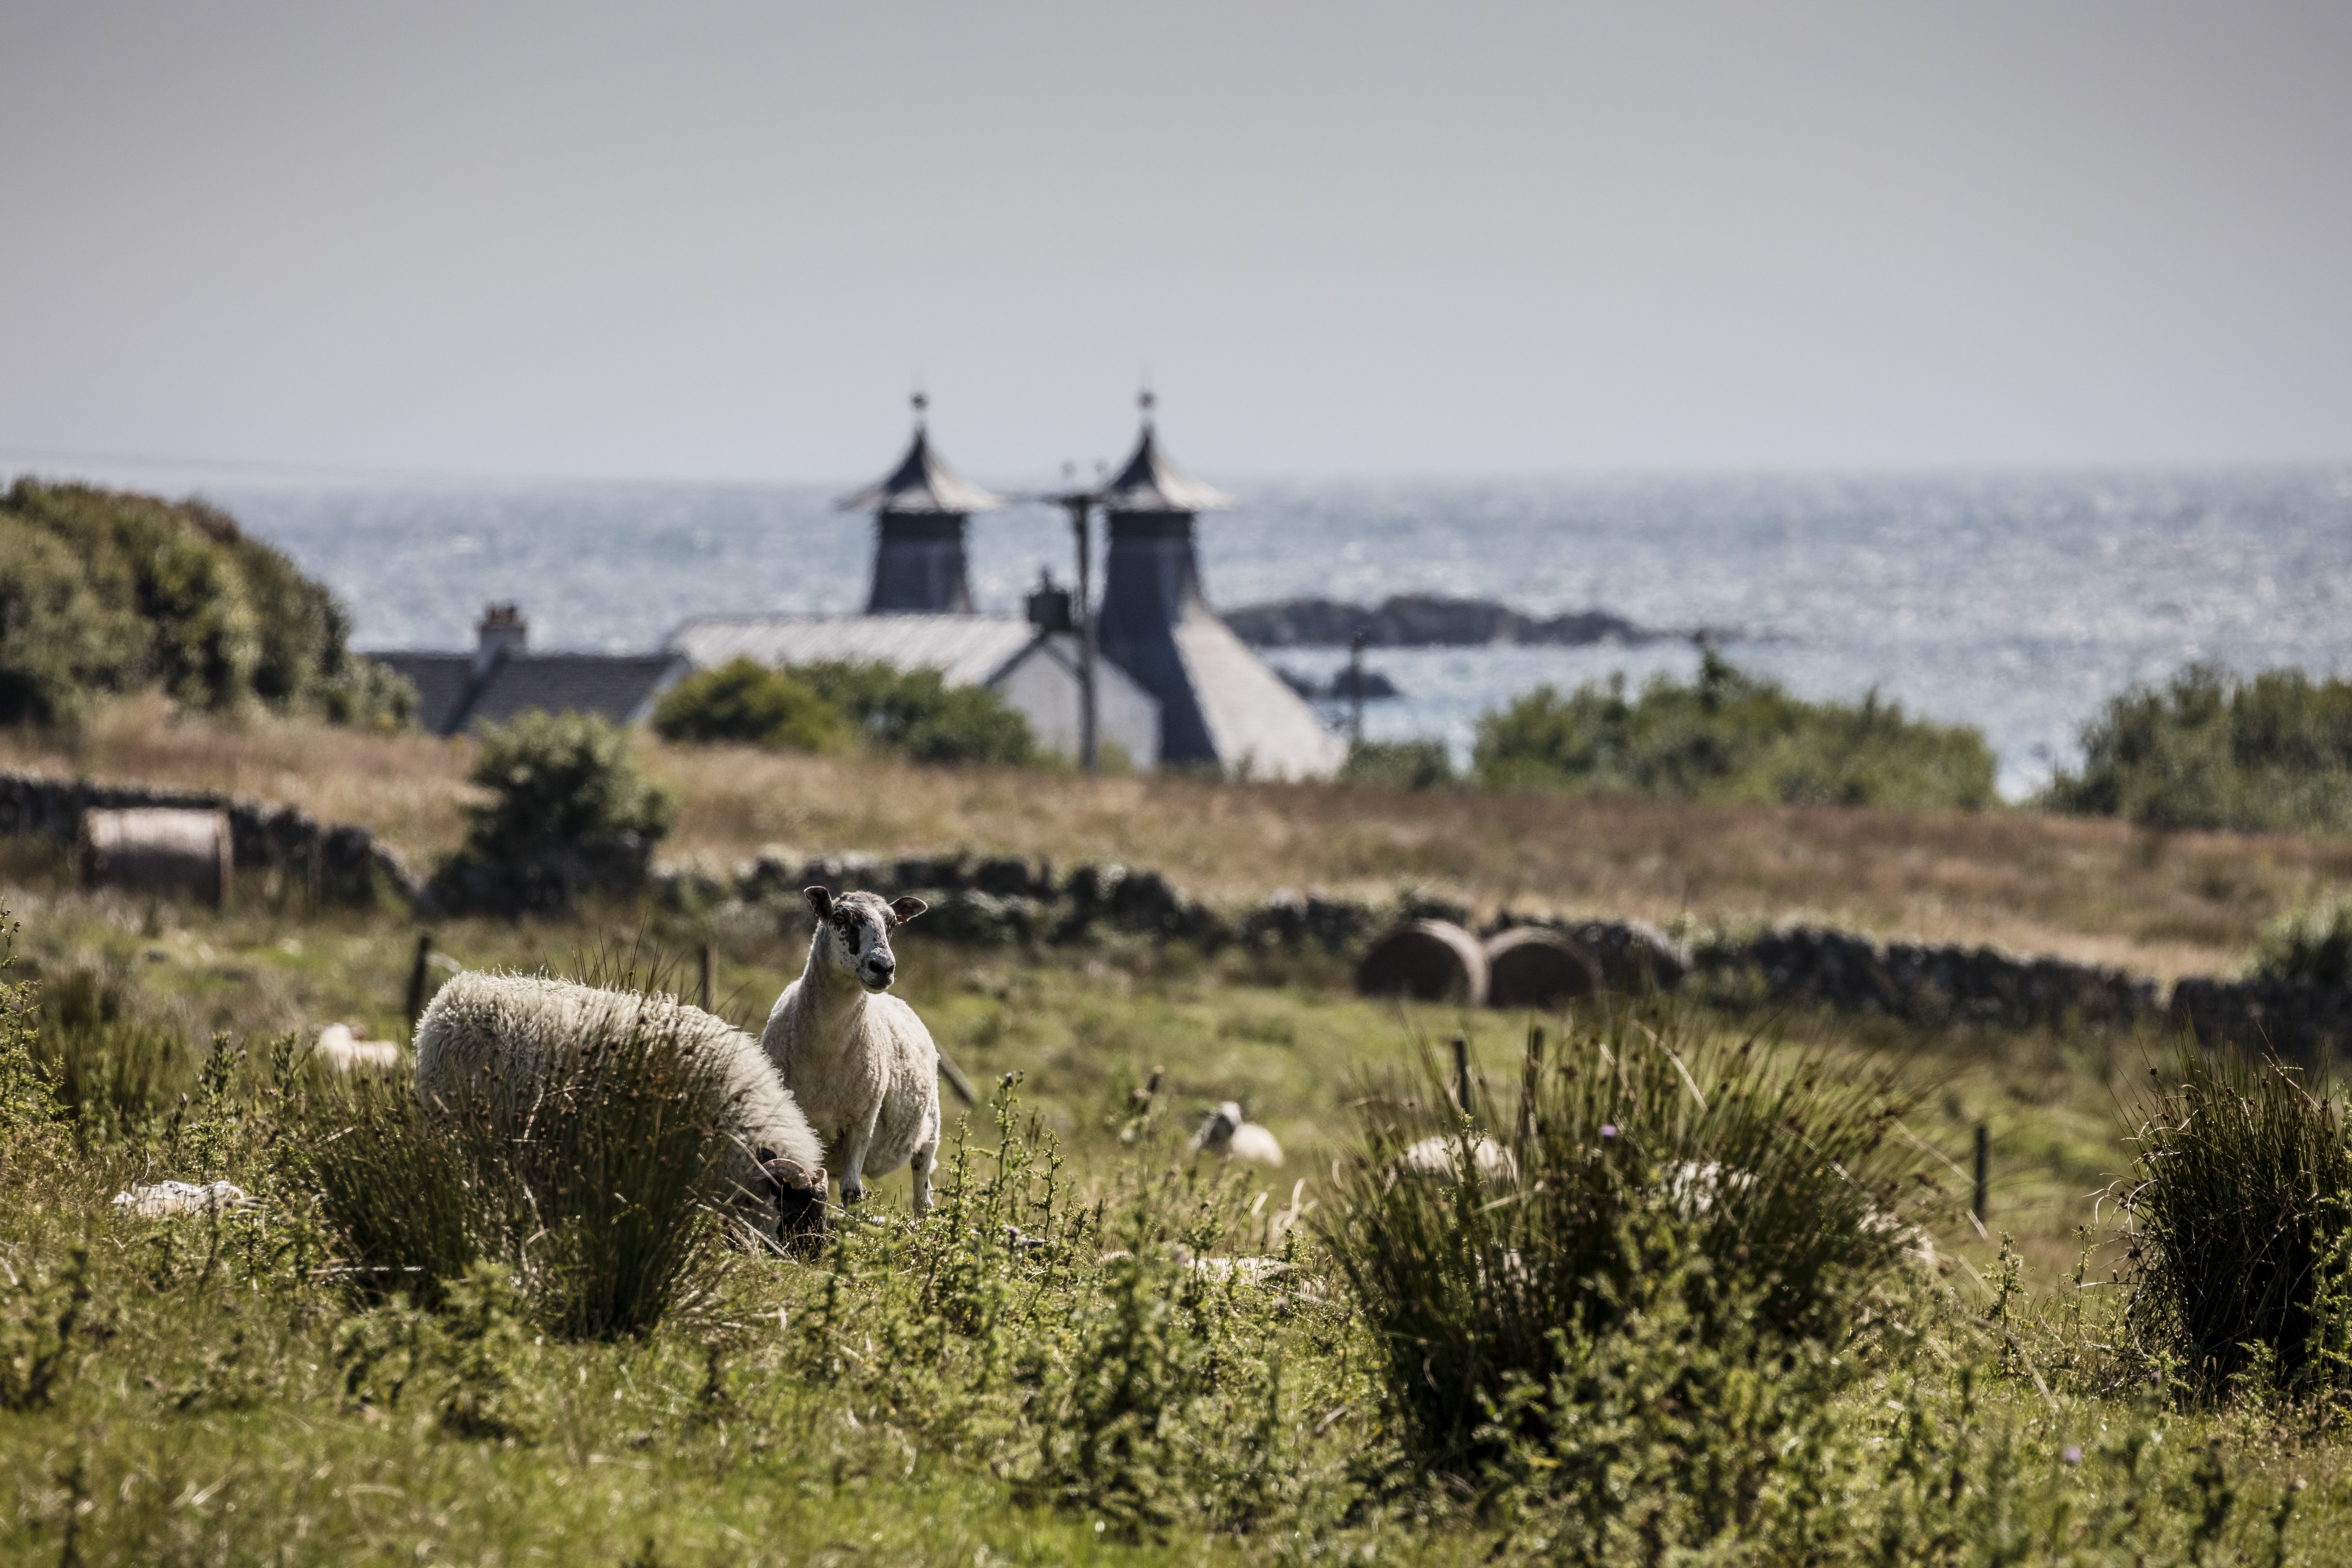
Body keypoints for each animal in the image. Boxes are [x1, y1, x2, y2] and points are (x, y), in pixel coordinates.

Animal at [758, 887, 941, 1213]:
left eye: (892, 924)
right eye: (841, 918)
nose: (884, 967)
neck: (826, 1052)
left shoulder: (862, 1121)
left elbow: (852, 1193)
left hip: (929, 1136)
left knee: (923, 1202)